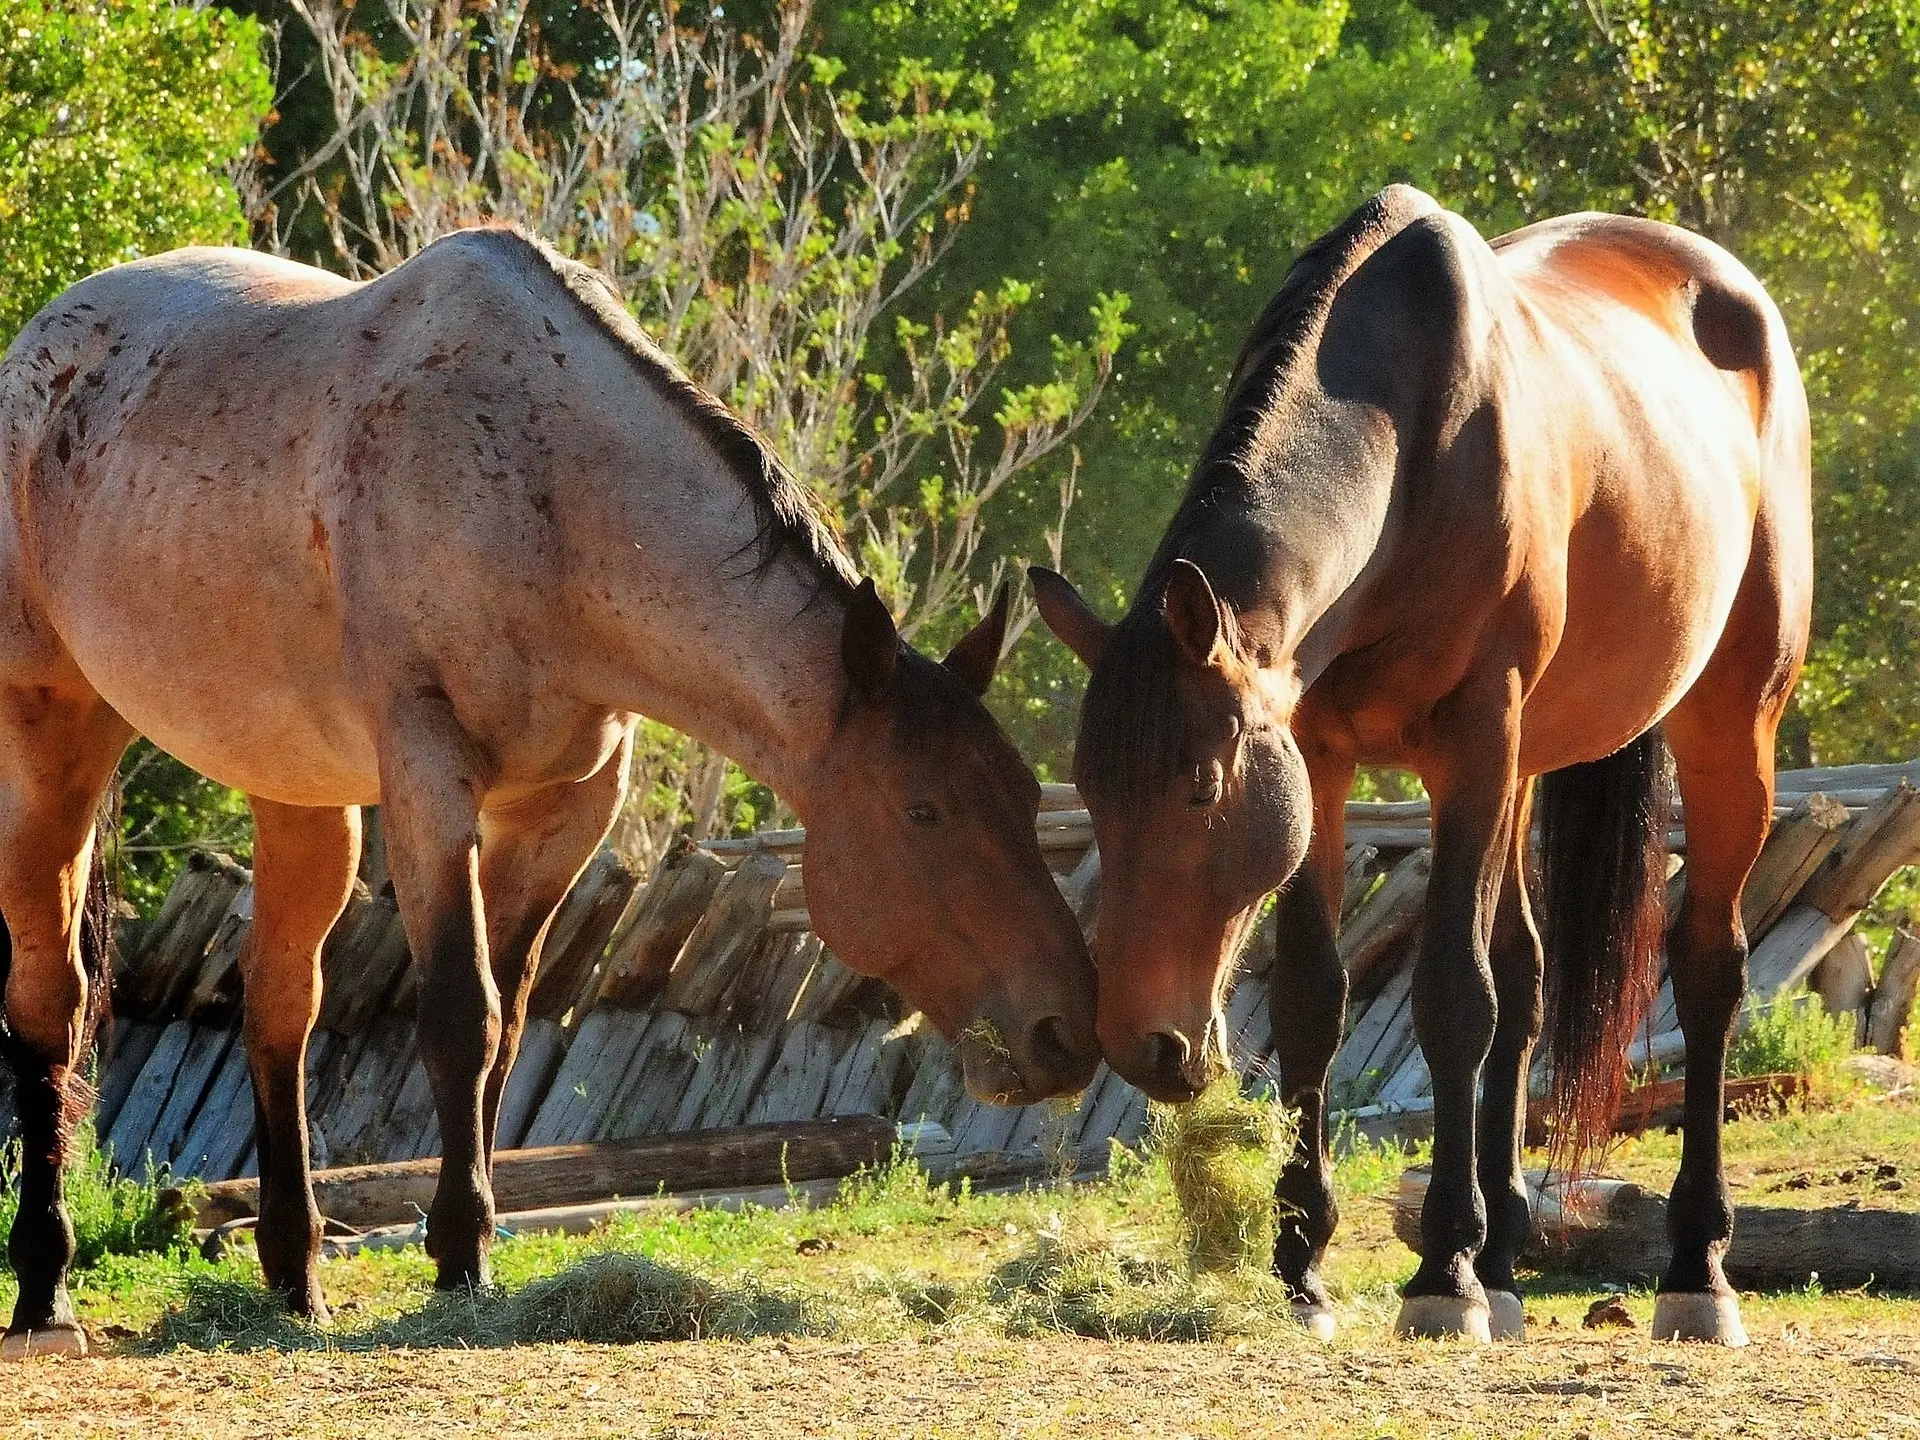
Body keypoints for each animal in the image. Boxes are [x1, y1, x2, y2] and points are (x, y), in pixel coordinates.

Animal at [0, 231, 1105, 1359]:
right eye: (923, 811)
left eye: (1025, 795)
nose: (1065, 1034)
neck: (545, 493)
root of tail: (42, 346)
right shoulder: (430, 777)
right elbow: (463, 1013)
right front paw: (459, 1256)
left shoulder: (564, 810)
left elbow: (510, 1022)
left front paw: (469, 1240)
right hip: (53, 735)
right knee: (52, 1002)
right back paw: (45, 1292)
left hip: (296, 788)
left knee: (280, 1004)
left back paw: (295, 1274)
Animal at [1036, 186, 1797, 1351]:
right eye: (1094, 797)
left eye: (1200, 789)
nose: (1141, 1042)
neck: (1411, 447)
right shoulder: (1320, 755)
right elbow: (1316, 997)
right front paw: (1303, 1266)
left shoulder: (1474, 742)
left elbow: (1452, 997)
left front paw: (1442, 1272)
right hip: (1533, 760)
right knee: (1528, 973)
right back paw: (1511, 1257)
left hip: (1728, 722)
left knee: (1708, 968)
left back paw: (1693, 1271)